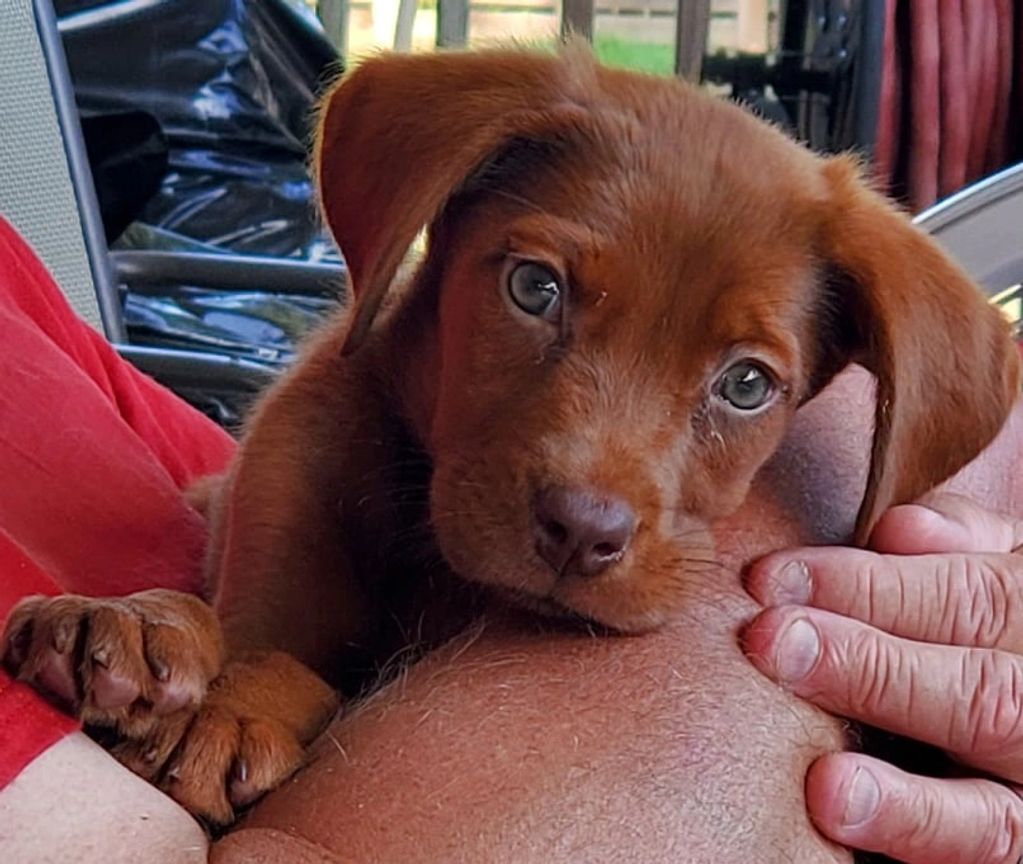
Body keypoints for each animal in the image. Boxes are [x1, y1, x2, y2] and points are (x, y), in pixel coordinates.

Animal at [3, 45, 1018, 822]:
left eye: (745, 384)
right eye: (534, 288)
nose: (580, 532)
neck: (423, 550)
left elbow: (300, 676)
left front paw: (232, 709)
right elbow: (243, 622)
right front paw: (139, 624)